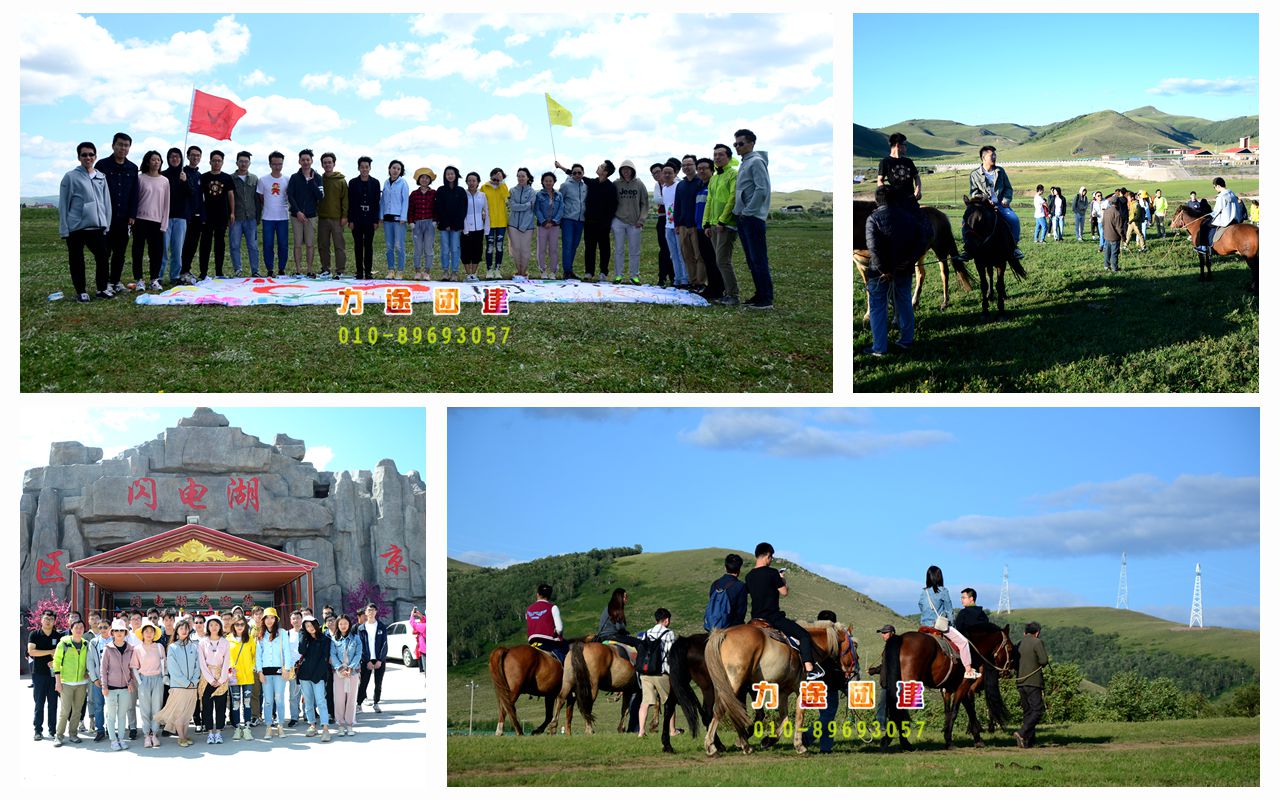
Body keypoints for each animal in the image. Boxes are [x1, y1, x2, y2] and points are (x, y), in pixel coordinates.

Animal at [706, 616, 855, 752]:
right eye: (854, 647)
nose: (854, 671)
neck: (813, 645)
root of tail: (724, 633)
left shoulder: (783, 691)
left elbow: (785, 718)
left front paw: (768, 740)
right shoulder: (800, 688)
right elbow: (799, 716)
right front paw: (799, 745)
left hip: (727, 685)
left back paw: (743, 745)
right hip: (734, 683)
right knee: (723, 709)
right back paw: (712, 746)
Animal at [880, 616, 1008, 747]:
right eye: (1010, 647)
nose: (1009, 671)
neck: (972, 649)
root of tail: (900, 638)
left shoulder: (953, 687)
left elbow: (958, 711)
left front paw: (976, 738)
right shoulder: (964, 685)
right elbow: (955, 711)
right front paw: (950, 740)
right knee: (898, 708)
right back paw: (903, 742)